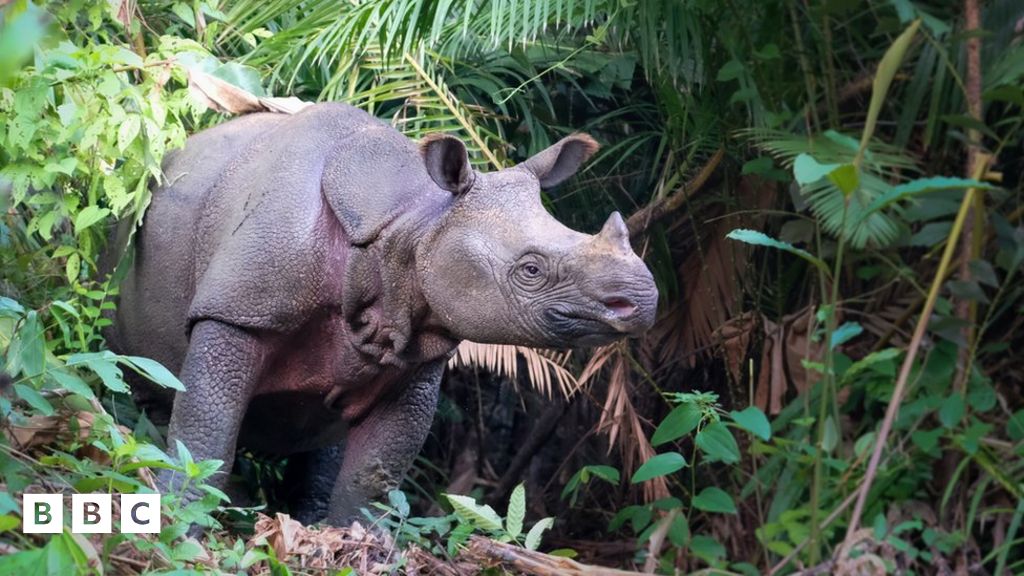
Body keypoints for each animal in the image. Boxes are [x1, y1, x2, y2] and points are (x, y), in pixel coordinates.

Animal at [108, 101, 659, 524]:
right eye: (530, 270)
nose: (643, 300)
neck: (411, 225)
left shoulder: (414, 355)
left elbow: (372, 477)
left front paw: (350, 541)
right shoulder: (239, 308)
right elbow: (204, 432)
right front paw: (184, 517)